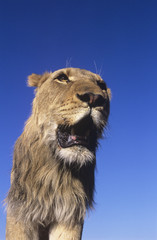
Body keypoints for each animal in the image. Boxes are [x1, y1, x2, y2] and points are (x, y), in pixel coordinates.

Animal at [6, 68, 111, 240]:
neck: (56, 169)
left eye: (101, 85)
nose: (94, 98)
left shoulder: (70, 214)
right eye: (62, 78)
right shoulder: (20, 209)